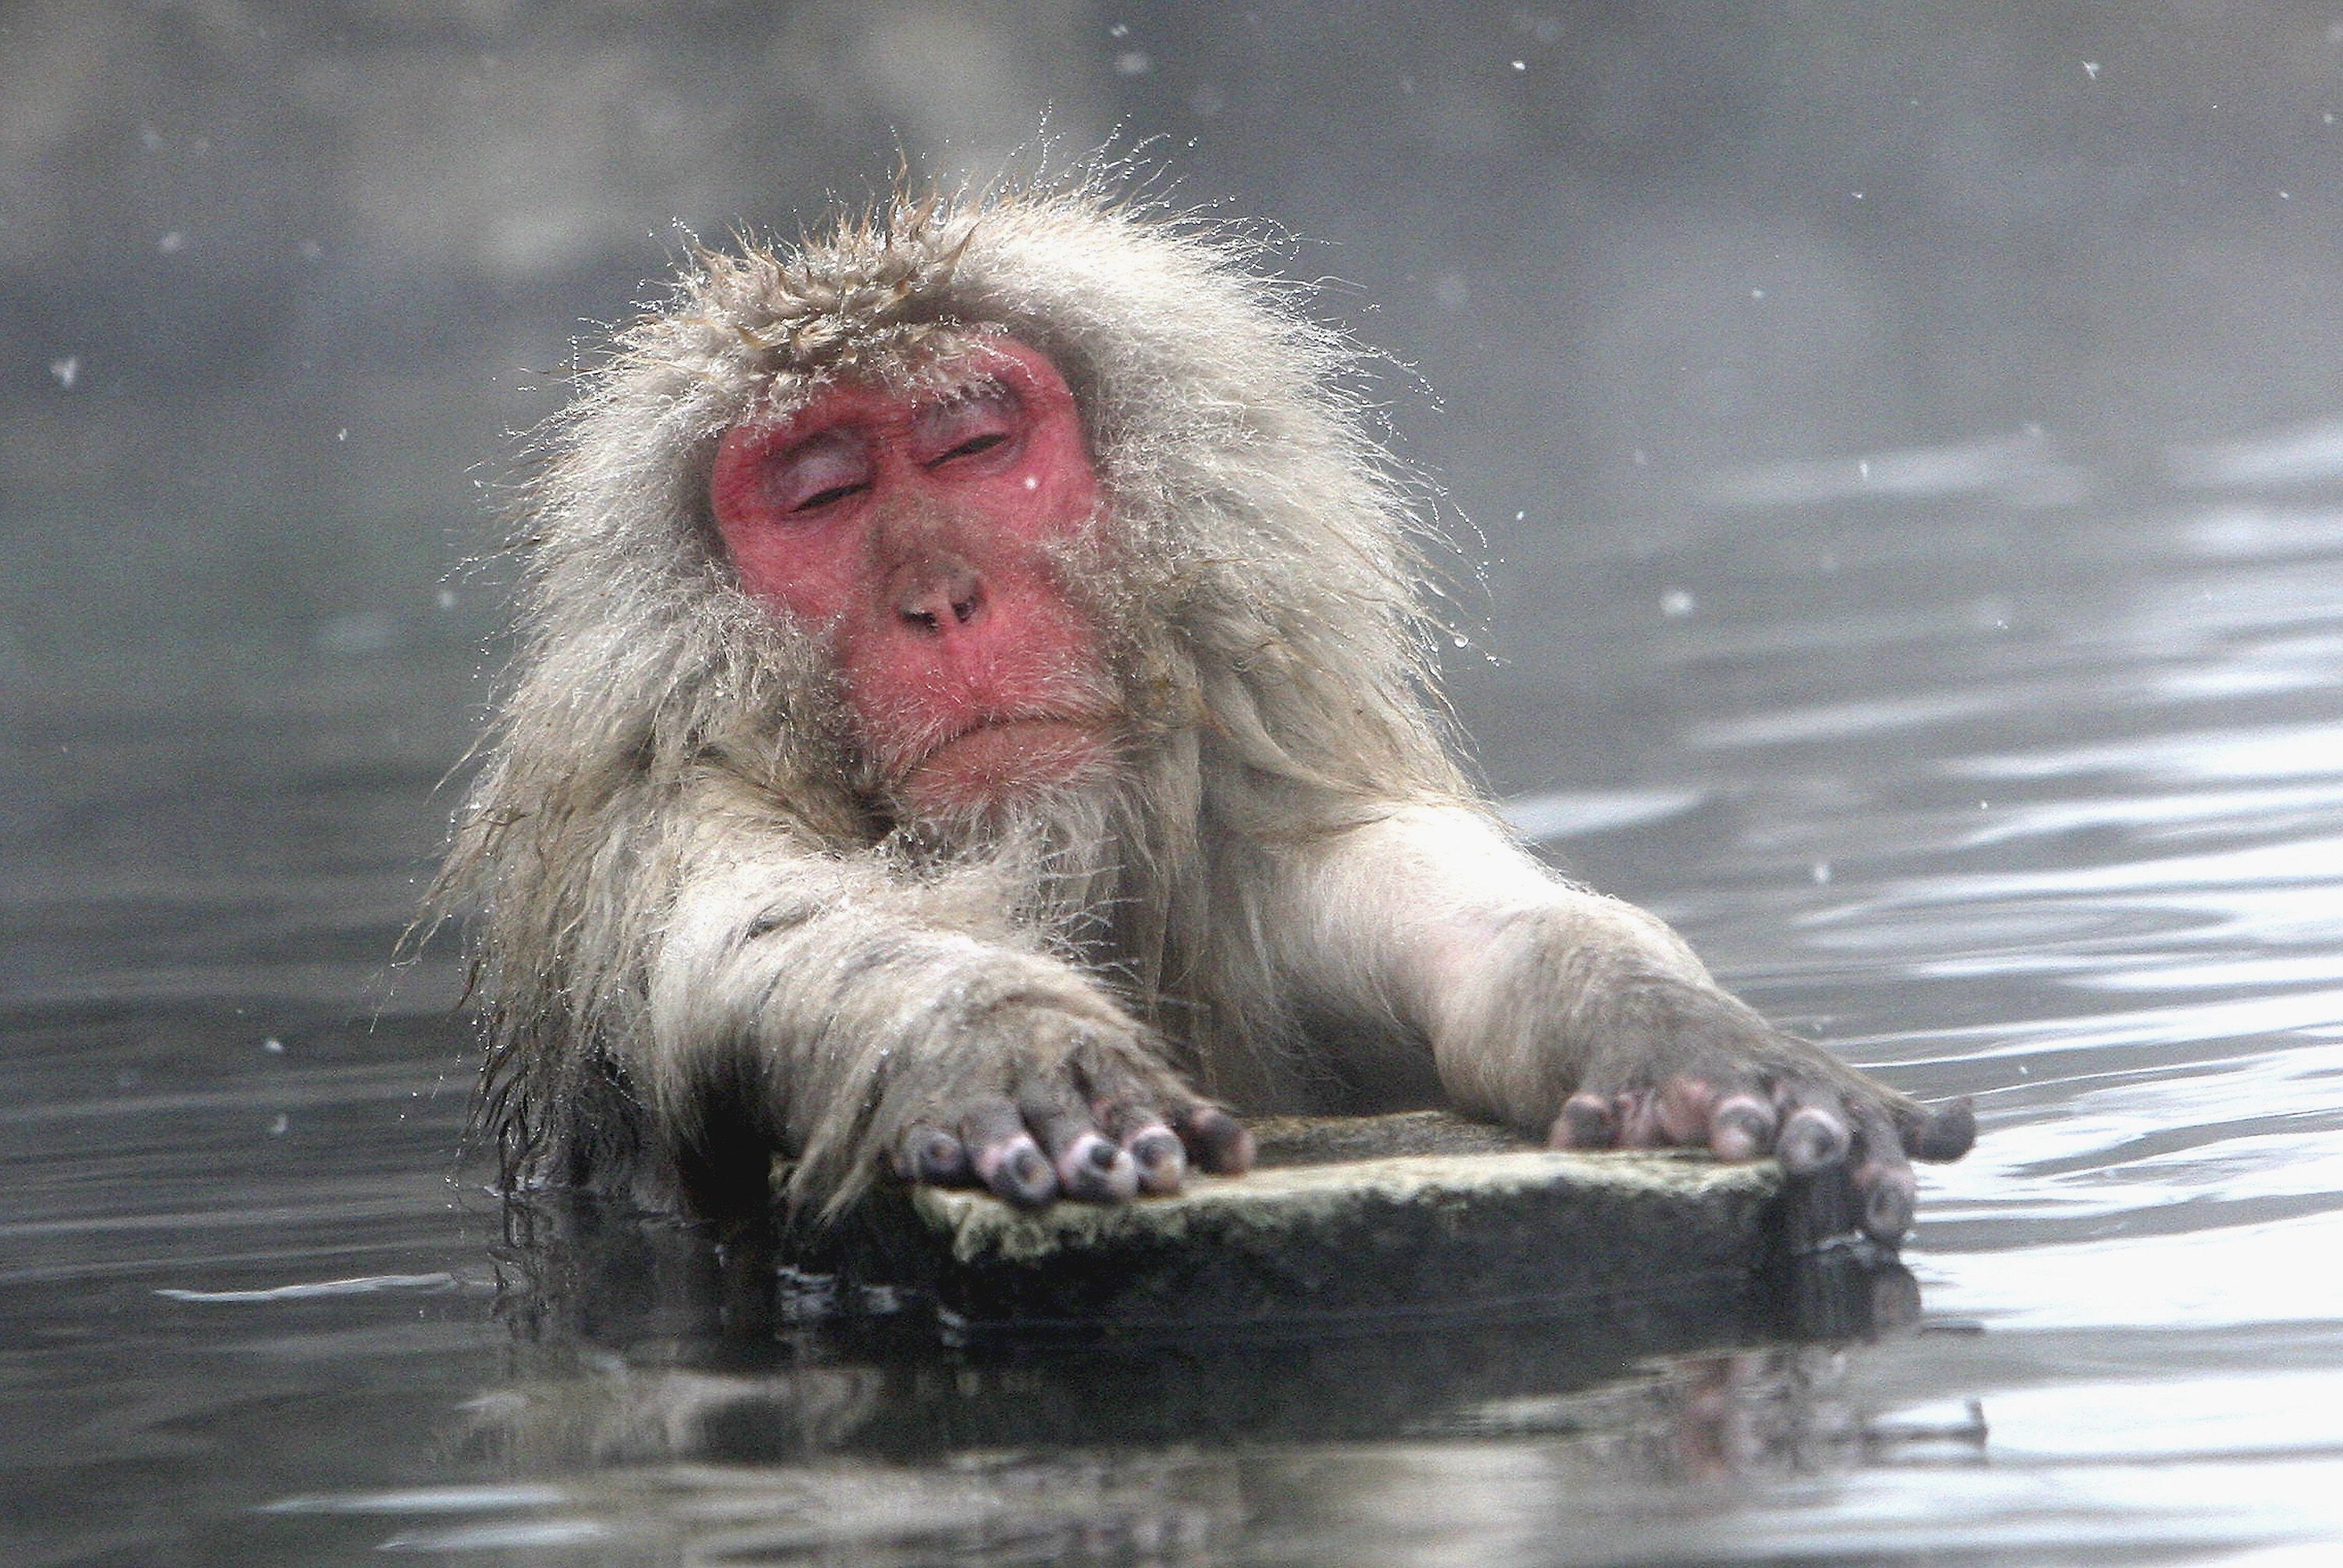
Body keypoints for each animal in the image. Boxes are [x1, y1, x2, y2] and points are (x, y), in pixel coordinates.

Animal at [438, 181, 1973, 1244]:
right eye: (821, 494)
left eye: (971, 442)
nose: (941, 599)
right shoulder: (665, 814)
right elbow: (766, 929)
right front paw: (990, 1033)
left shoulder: (1231, 840)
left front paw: (1657, 1027)